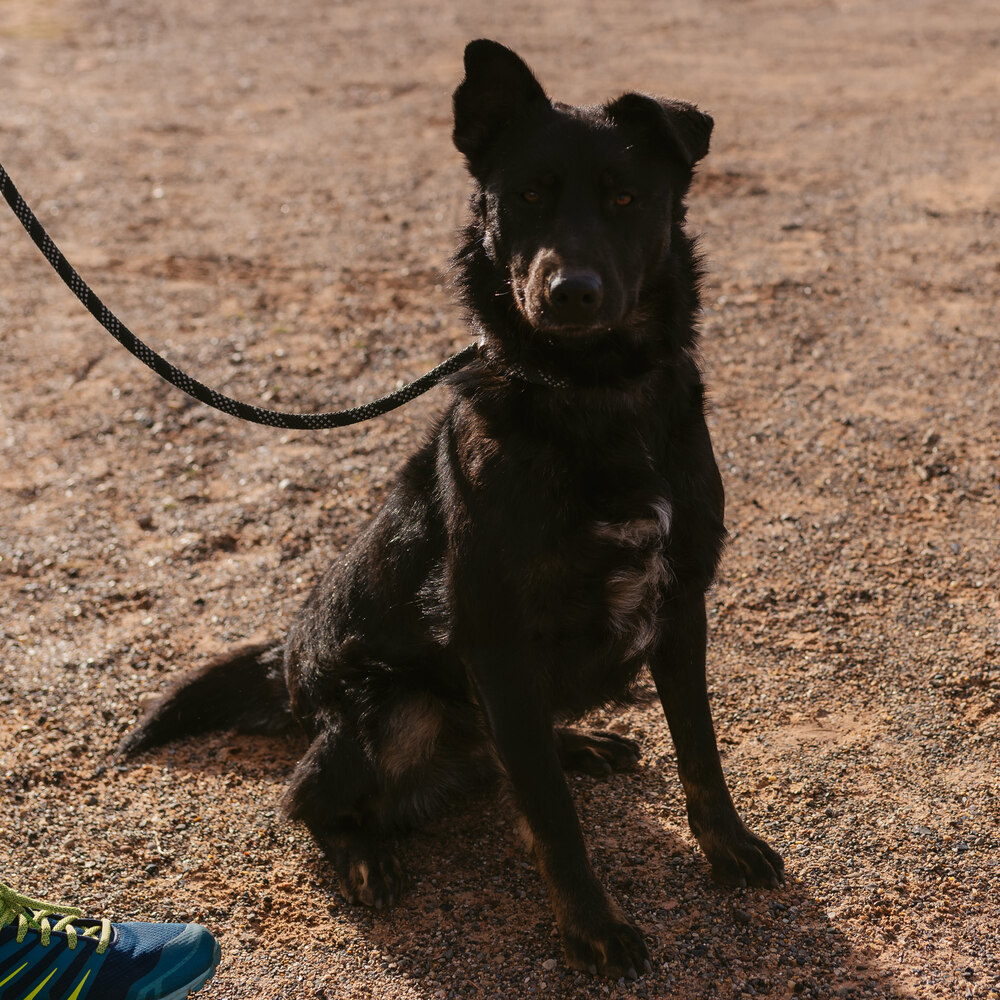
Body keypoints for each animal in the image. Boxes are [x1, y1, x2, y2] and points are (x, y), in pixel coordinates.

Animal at [119, 39, 780, 976]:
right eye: (528, 195)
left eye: (626, 198)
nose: (570, 291)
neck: (592, 398)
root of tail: (288, 671)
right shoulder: (496, 638)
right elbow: (551, 814)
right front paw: (590, 926)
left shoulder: (680, 606)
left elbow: (702, 753)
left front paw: (726, 846)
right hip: (396, 705)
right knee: (310, 797)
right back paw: (362, 852)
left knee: (509, 750)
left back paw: (578, 744)